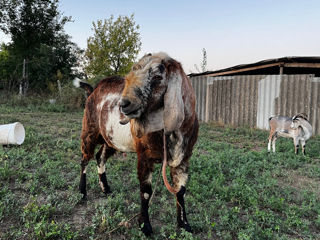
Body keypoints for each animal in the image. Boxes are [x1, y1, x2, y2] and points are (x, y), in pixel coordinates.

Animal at [78, 53, 198, 236]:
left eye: (157, 77)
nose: (124, 104)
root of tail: (93, 91)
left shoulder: (183, 158)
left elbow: (181, 190)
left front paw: (184, 224)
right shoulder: (144, 156)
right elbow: (146, 192)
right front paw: (145, 226)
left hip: (110, 139)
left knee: (100, 157)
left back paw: (106, 189)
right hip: (89, 130)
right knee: (85, 158)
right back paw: (82, 192)